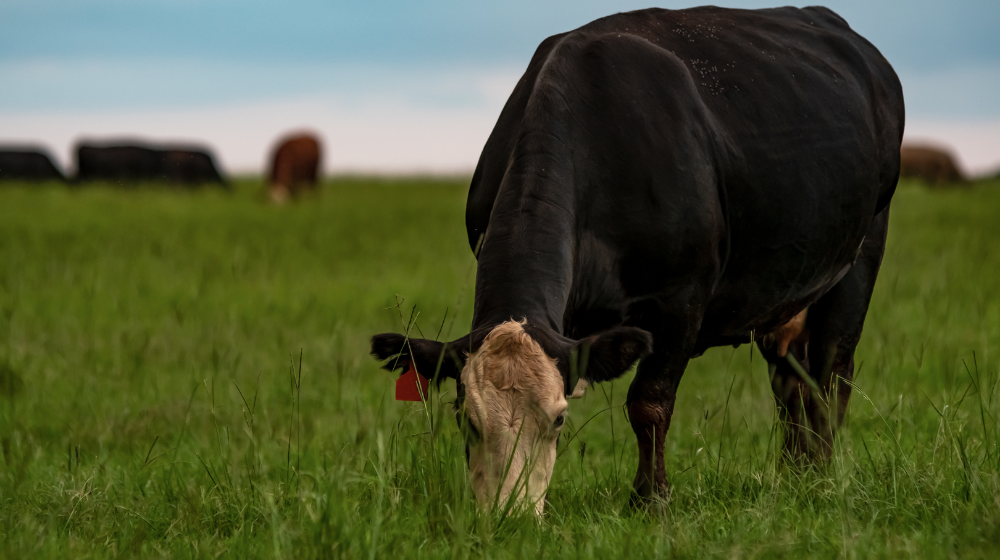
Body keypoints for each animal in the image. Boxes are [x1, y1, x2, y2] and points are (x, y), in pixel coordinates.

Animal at [371, 6, 904, 514]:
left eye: (559, 419)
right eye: (465, 418)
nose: (508, 517)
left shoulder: (680, 300)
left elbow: (649, 405)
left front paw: (651, 501)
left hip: (860, 258)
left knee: (830, 375)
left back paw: (822, 476)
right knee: (790, 379)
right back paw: (795, 474)